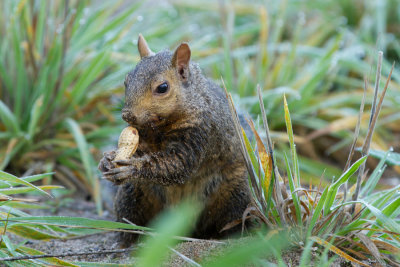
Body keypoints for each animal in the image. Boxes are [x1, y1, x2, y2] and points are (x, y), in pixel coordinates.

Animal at [98, 34, 252, 248]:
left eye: (163, 88)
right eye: (126, 81)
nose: (127, 115)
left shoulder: (200, 133)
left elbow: (177, 165)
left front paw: (133, 168)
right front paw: (106, 160)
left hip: (236, 195)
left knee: (232, 220)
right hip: (133, 196)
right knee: (131, 222)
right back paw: (126, 242)